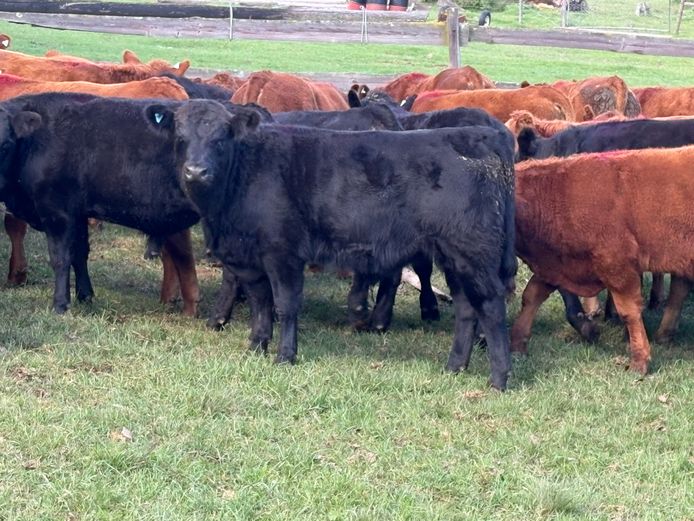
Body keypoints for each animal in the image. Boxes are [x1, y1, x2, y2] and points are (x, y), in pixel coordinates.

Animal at [0, 93, 201, 315]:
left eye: (5, 145)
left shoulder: (56, 212)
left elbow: (60, 258)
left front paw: (60, 304)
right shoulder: (78, 213)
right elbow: (79, 254)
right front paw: (85, 296)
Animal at [162, 99, 516, 389]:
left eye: (220, 138)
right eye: (181, 137)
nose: (196, 172)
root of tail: (483, 133)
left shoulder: (282, 253)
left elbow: (285, 305)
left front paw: (285, 356)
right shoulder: (249, 258)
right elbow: (260, 303)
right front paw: (256, 347)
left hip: (473, 253)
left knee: (491, 306)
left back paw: (498, 379)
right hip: (453, 257)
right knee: (467, 307)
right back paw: (454, 366)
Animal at [513, 147, 694, 374]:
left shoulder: (617, 266)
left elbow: (629, 312)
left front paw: (639, 360)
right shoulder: (558, 265)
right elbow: (531, 296)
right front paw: (517, 344)